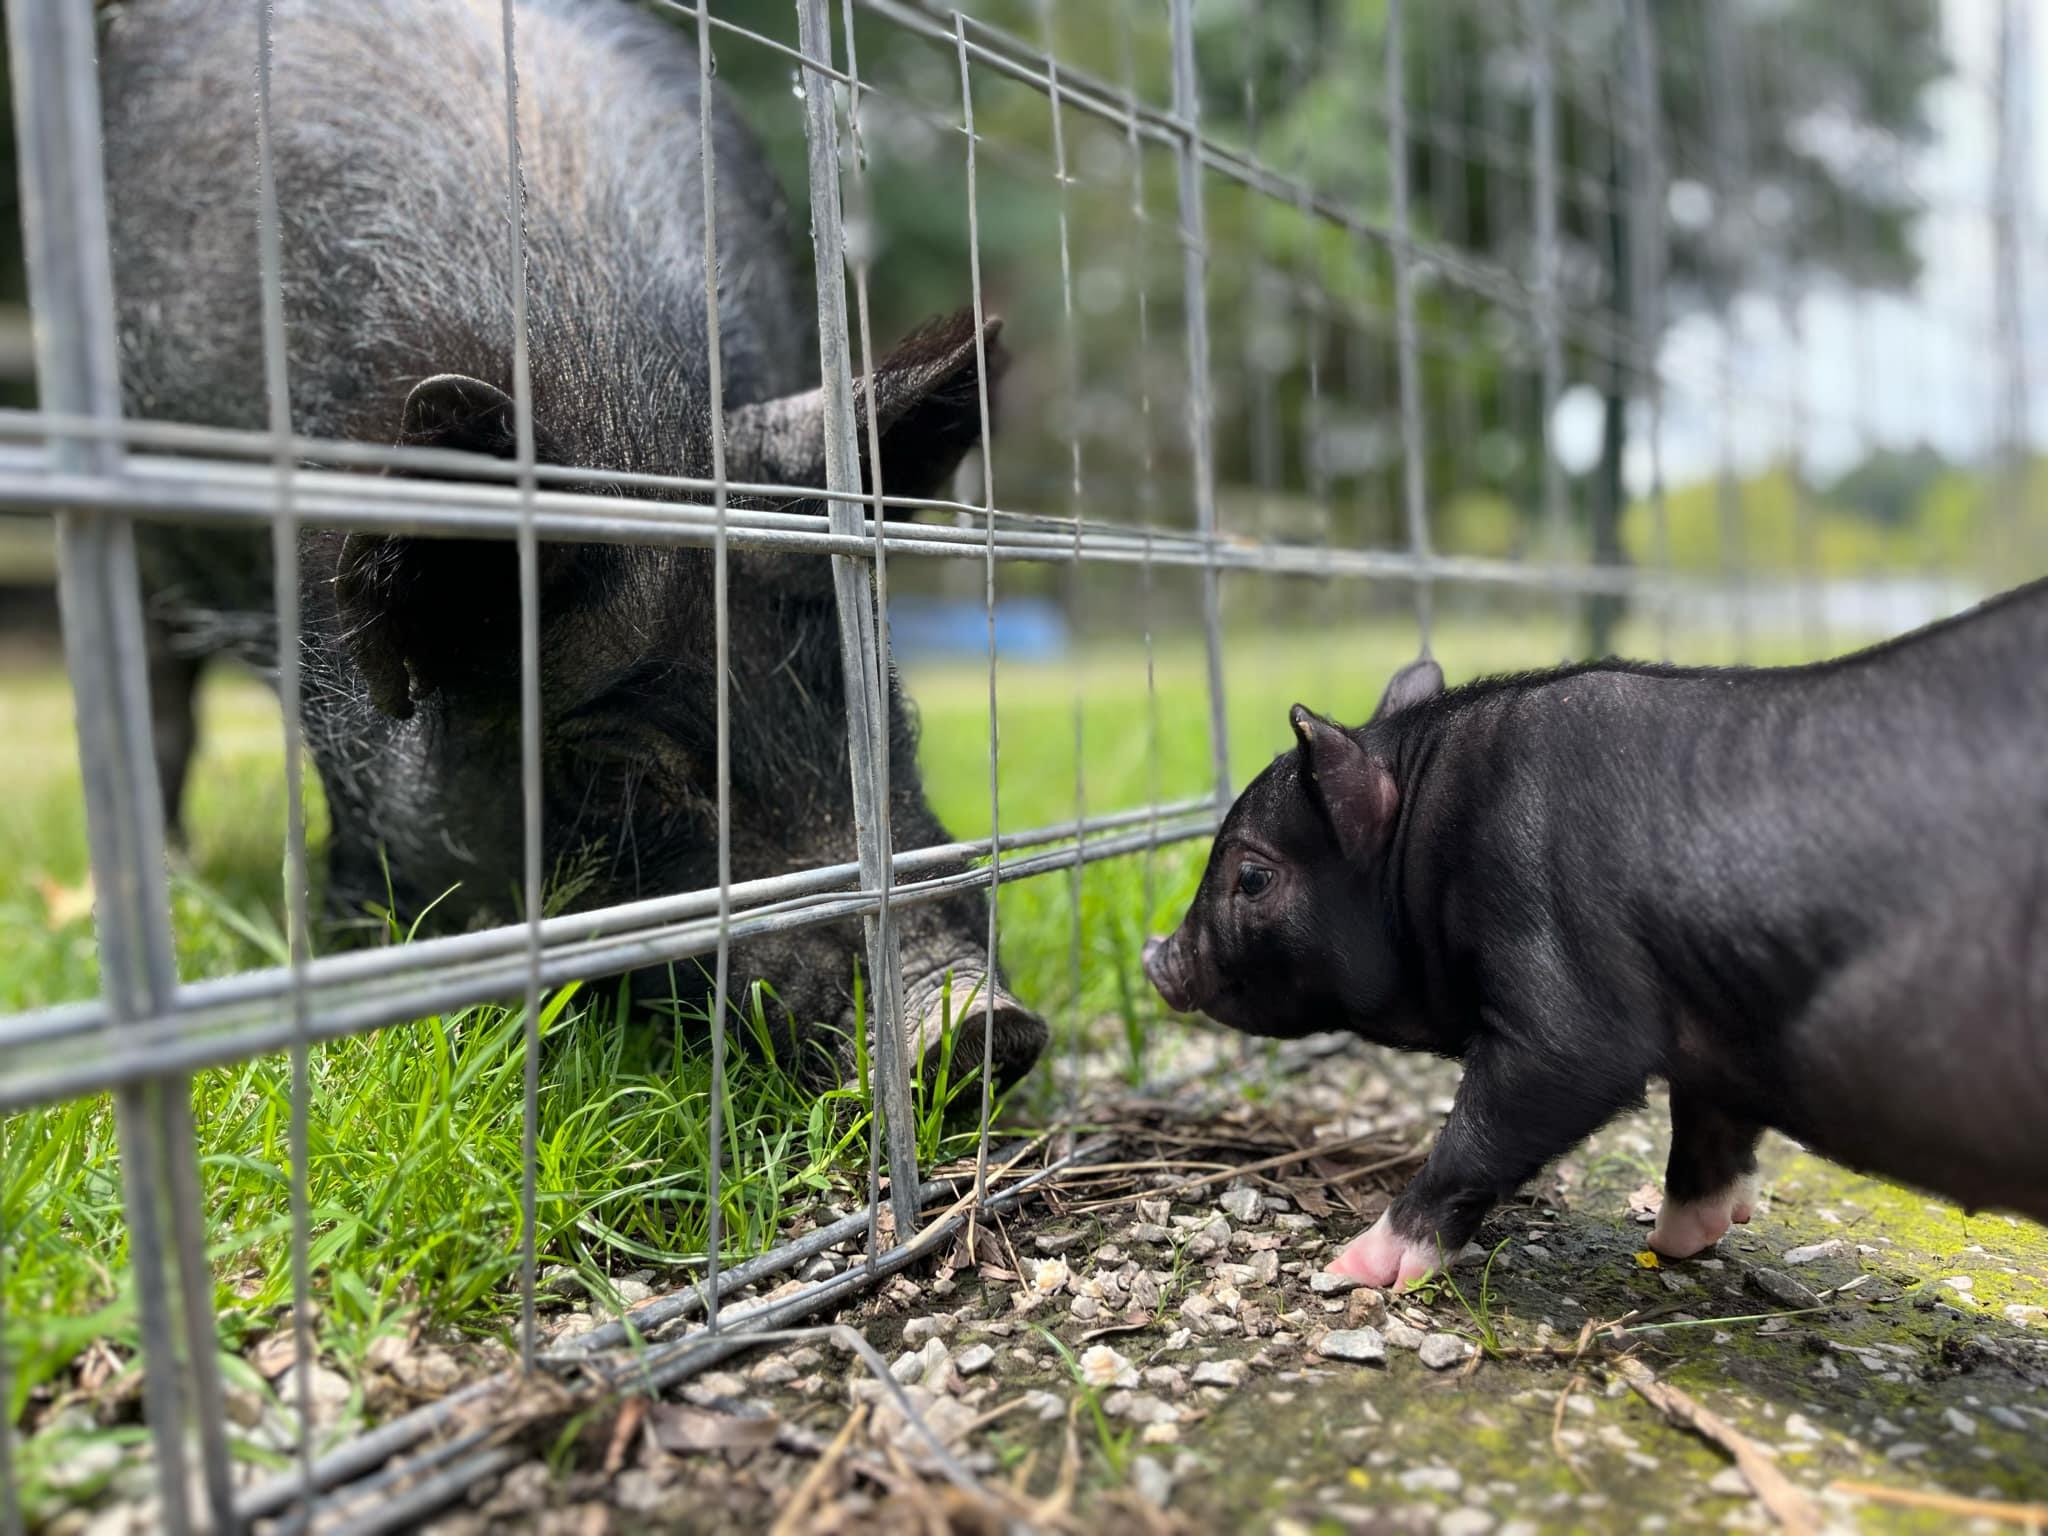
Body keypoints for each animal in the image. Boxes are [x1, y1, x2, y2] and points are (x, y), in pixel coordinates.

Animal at [1144, 582, 2048, 1288]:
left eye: (1252, 877)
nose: (1156, 957)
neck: (1431, 835)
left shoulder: (1565, 979)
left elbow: (1519, 1098)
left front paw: (1351, 1269)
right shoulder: (1712, 1025)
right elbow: (1708, 1124)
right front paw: (1683, 1238)